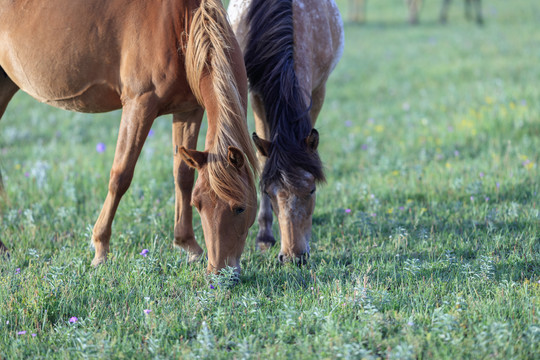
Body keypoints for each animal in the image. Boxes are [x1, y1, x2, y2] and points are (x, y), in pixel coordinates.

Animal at [0, 0, 258, 274]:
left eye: (240, 207)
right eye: (199, 205)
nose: (220, 272)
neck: (180, 23)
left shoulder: (188, 110)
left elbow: (183, 175)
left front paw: (187, 245)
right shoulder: (139, 105)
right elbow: (121, 176)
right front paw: (100, 249)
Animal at [228, 0, 342, 264]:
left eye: (312, 190)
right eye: (268, 193)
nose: (293, 257)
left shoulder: (318, 90)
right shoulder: (256, 92)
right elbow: (262, 159)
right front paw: (264, 236)